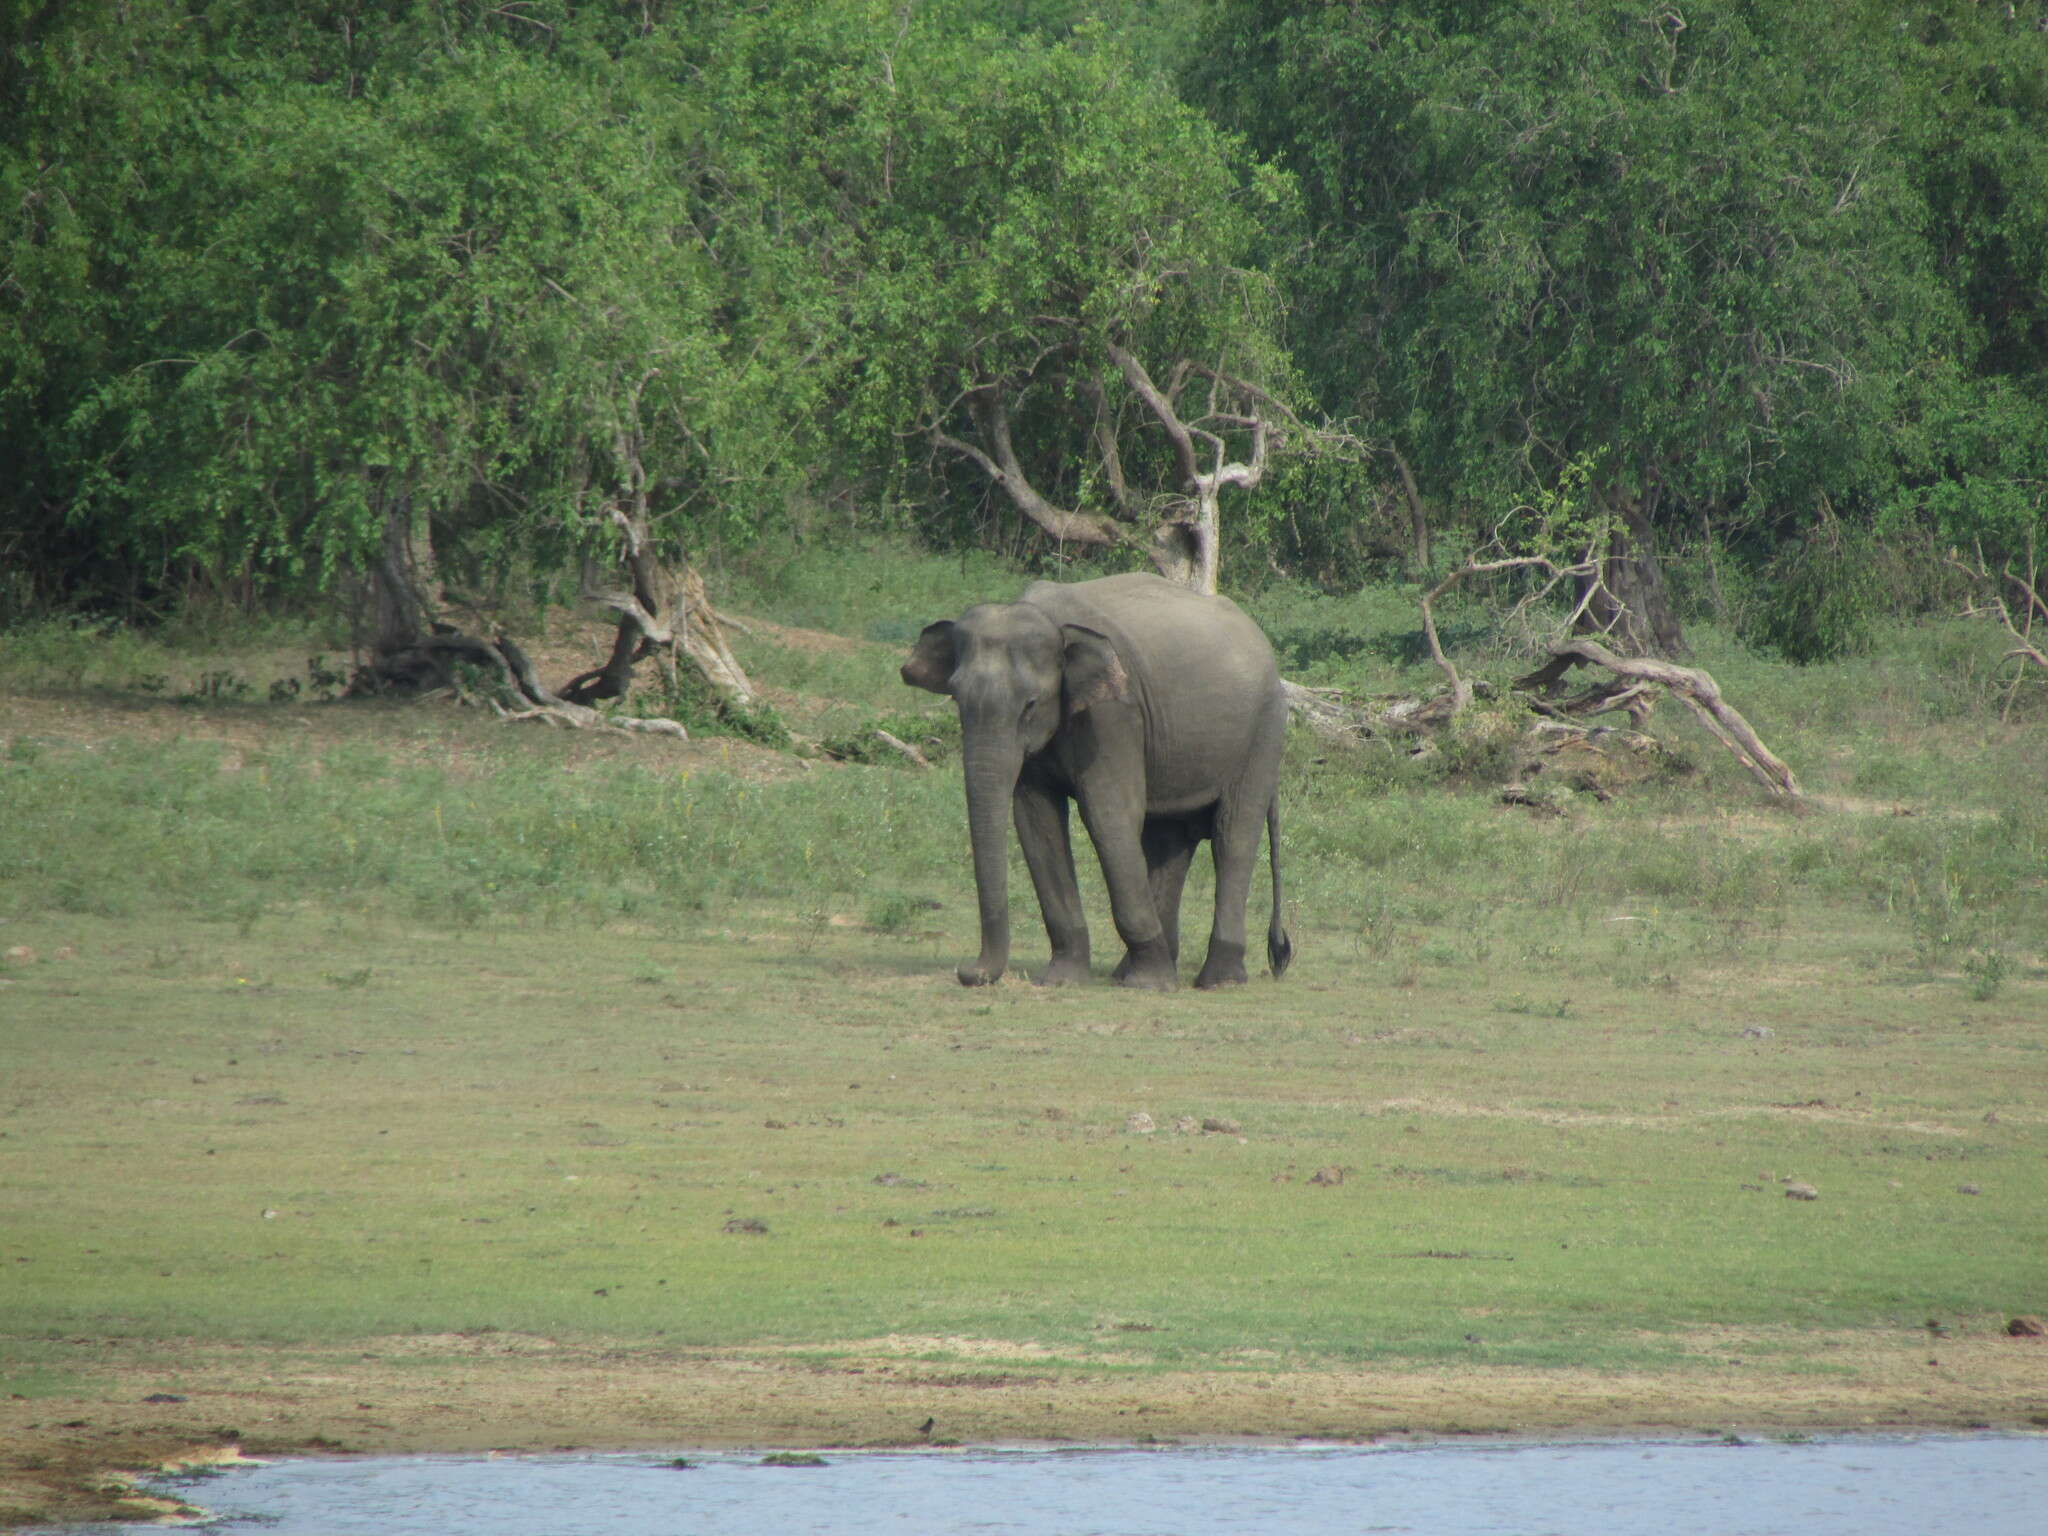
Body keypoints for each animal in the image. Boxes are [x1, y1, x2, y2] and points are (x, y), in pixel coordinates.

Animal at [901, 573, 1286, 991]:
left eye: (1030, 704)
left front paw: (1148, 985)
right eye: (956, 698)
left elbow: (1108, 815)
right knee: (1170, 839)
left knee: (1232, 837)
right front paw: (1061, 979)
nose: (967, 971)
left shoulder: (1115, 715)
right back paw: (1134, 970)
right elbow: (1036, 822)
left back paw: (1217, 980)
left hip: (1263, 732)